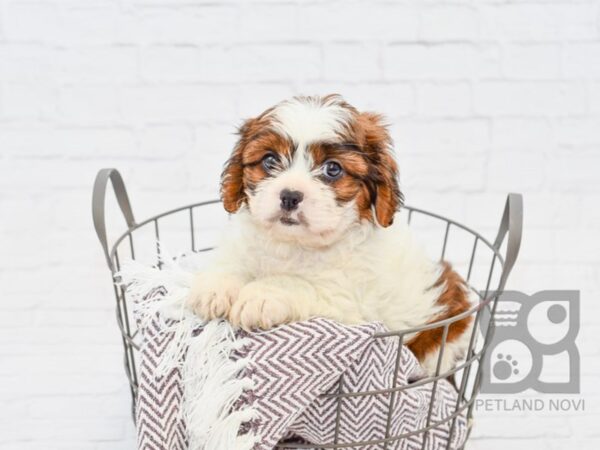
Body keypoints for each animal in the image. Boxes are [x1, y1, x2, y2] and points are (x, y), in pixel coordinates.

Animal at [188, 96, 474, 376]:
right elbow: (232, 261)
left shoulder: (348, 306)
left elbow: (296, 284)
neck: (294, 245)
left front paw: (261, 296)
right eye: (269, 160)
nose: (290, 196)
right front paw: (215, 286)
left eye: (333, 169)